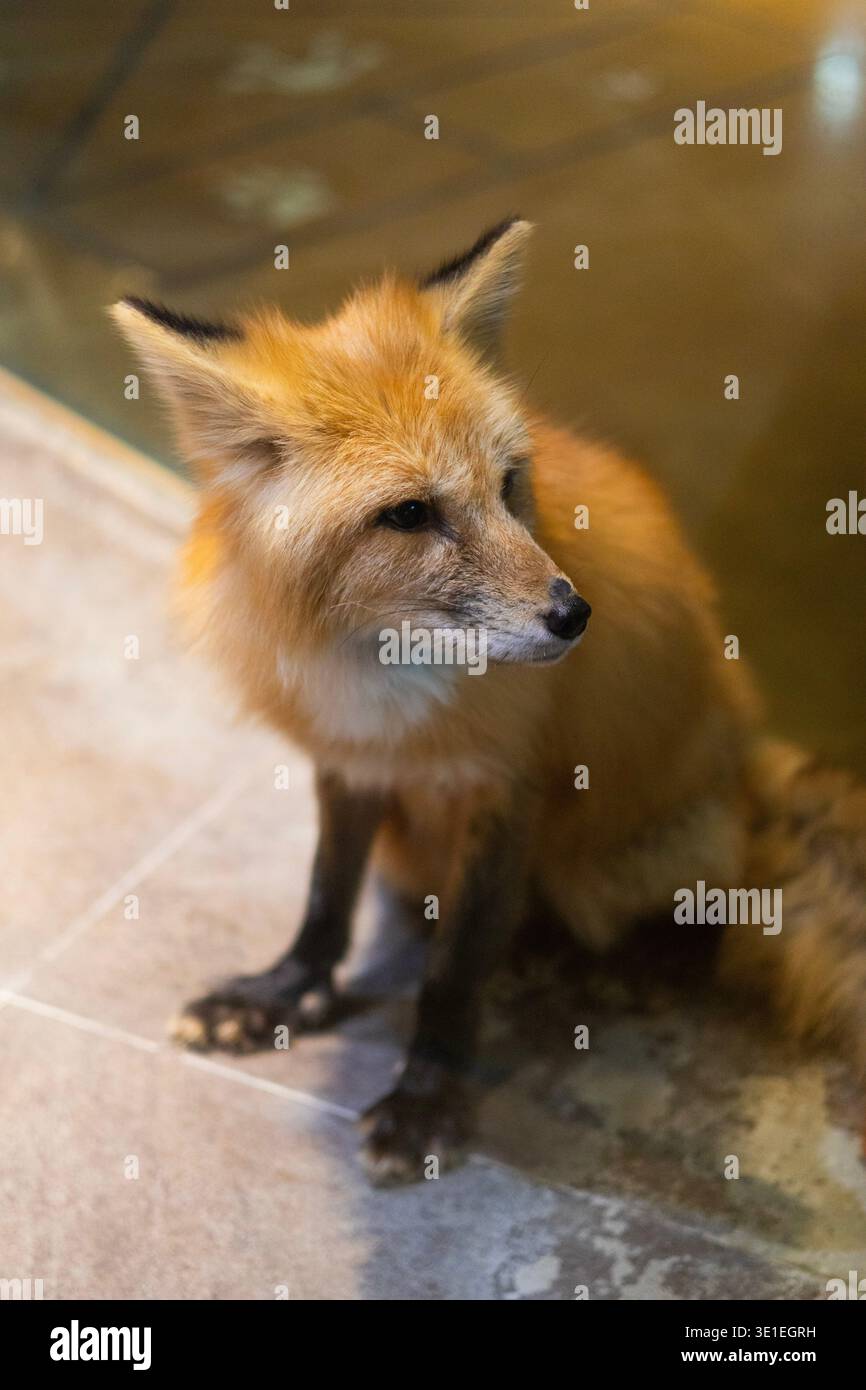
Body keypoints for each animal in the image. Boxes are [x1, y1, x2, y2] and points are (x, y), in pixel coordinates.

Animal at [111, 218, 866, 1183]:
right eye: (408, 513)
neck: (378, 681)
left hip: (627, 860)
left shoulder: (505, 787)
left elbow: (455, 967)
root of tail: (744, 766)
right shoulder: (349, 765)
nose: (574, 615)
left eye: (508, 484)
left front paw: (424, 1101)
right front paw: (284, 995)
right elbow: (325, 898)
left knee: (706, 915)